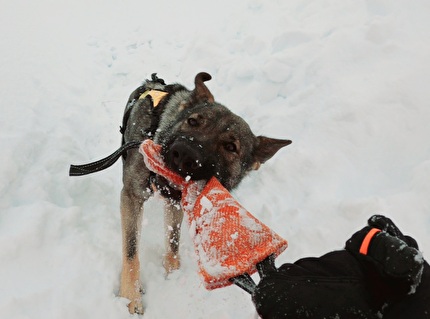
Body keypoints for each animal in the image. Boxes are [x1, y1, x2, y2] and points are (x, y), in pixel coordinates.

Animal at [117, 72, 292, 316]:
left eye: (230, 147)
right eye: (193, 122)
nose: (183, 154)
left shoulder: (176, 203)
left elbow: (173, 241)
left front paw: (173, 273)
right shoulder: (132, 196)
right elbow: (131, 251)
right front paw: (131, 298)